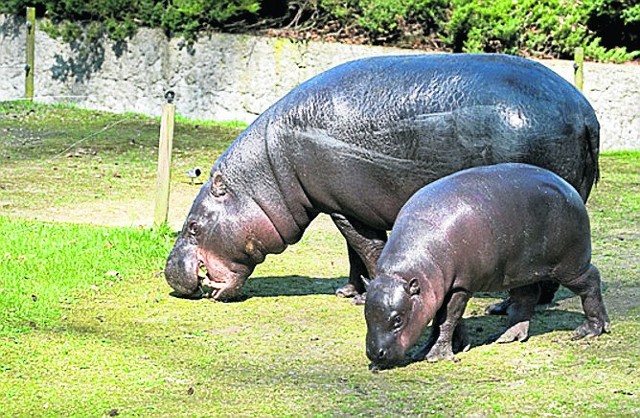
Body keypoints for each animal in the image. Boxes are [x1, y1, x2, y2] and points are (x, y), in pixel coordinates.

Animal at [161, 54, 600, 306]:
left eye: (193, 225)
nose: (168, 271)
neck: (264, 175)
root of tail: (584, 112)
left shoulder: (346, 209)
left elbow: (368, 250)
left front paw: (367, 295)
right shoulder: (343, 206)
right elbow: (353, 253)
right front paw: (348, 293)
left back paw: (505, 306)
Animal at [364, 163, 608, 370]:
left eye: (398, 319)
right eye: (366, 313)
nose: (375, 354)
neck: (404, 272)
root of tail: (569, 187)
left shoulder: (460, 285)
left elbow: (446, 319)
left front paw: (436, 356)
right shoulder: (441, 288)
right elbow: (444, 319)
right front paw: (451, 346)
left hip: (570, 265)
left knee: (591, 281)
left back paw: (590, 331)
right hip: (521, 271)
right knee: (526, 297)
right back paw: (506, 337)